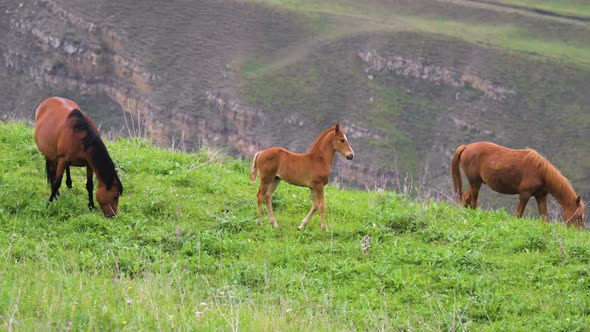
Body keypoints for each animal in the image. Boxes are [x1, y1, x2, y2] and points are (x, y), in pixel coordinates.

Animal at [454, 140, 588, 228]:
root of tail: (466, 147)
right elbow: (519, 214)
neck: (541, 172)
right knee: (473, 203)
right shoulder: (524, 194)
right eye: (578, 216)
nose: (577, 233)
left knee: (466, 199)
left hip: (476, 183)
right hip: (475, 183)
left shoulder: (541, 196)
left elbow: (544, 217)